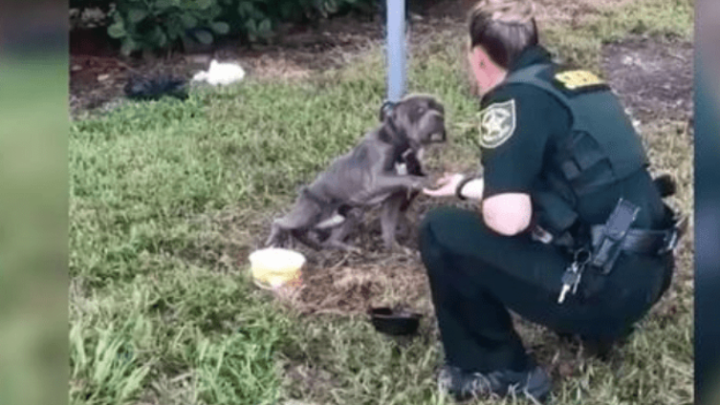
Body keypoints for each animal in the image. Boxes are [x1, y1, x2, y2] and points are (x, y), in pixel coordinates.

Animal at [264, 95, 444, 252]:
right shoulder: (377, 179)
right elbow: (408, 177)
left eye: (439, 108)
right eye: (419, 109)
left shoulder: (392, 201)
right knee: (280, 223)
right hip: (310, 211)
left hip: (350, 215)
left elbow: (389, 228)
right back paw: (273, 241)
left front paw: (396, 248)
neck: (402, 145)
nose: (439, 117)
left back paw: (342, 248)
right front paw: (429, 179)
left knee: (327, 240)